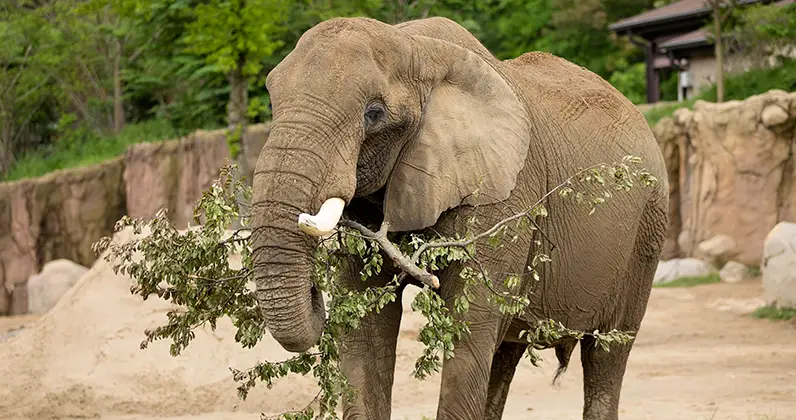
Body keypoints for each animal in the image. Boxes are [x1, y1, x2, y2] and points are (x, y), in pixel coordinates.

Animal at [250, 16, 668, 420]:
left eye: (374, 114)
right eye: (273, 102)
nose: (314, 291)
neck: (416, 46)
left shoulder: (501, 194)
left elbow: (469, 330)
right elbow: (366, 331)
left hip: (647, 230)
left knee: (607, 353)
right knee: (506, 351)